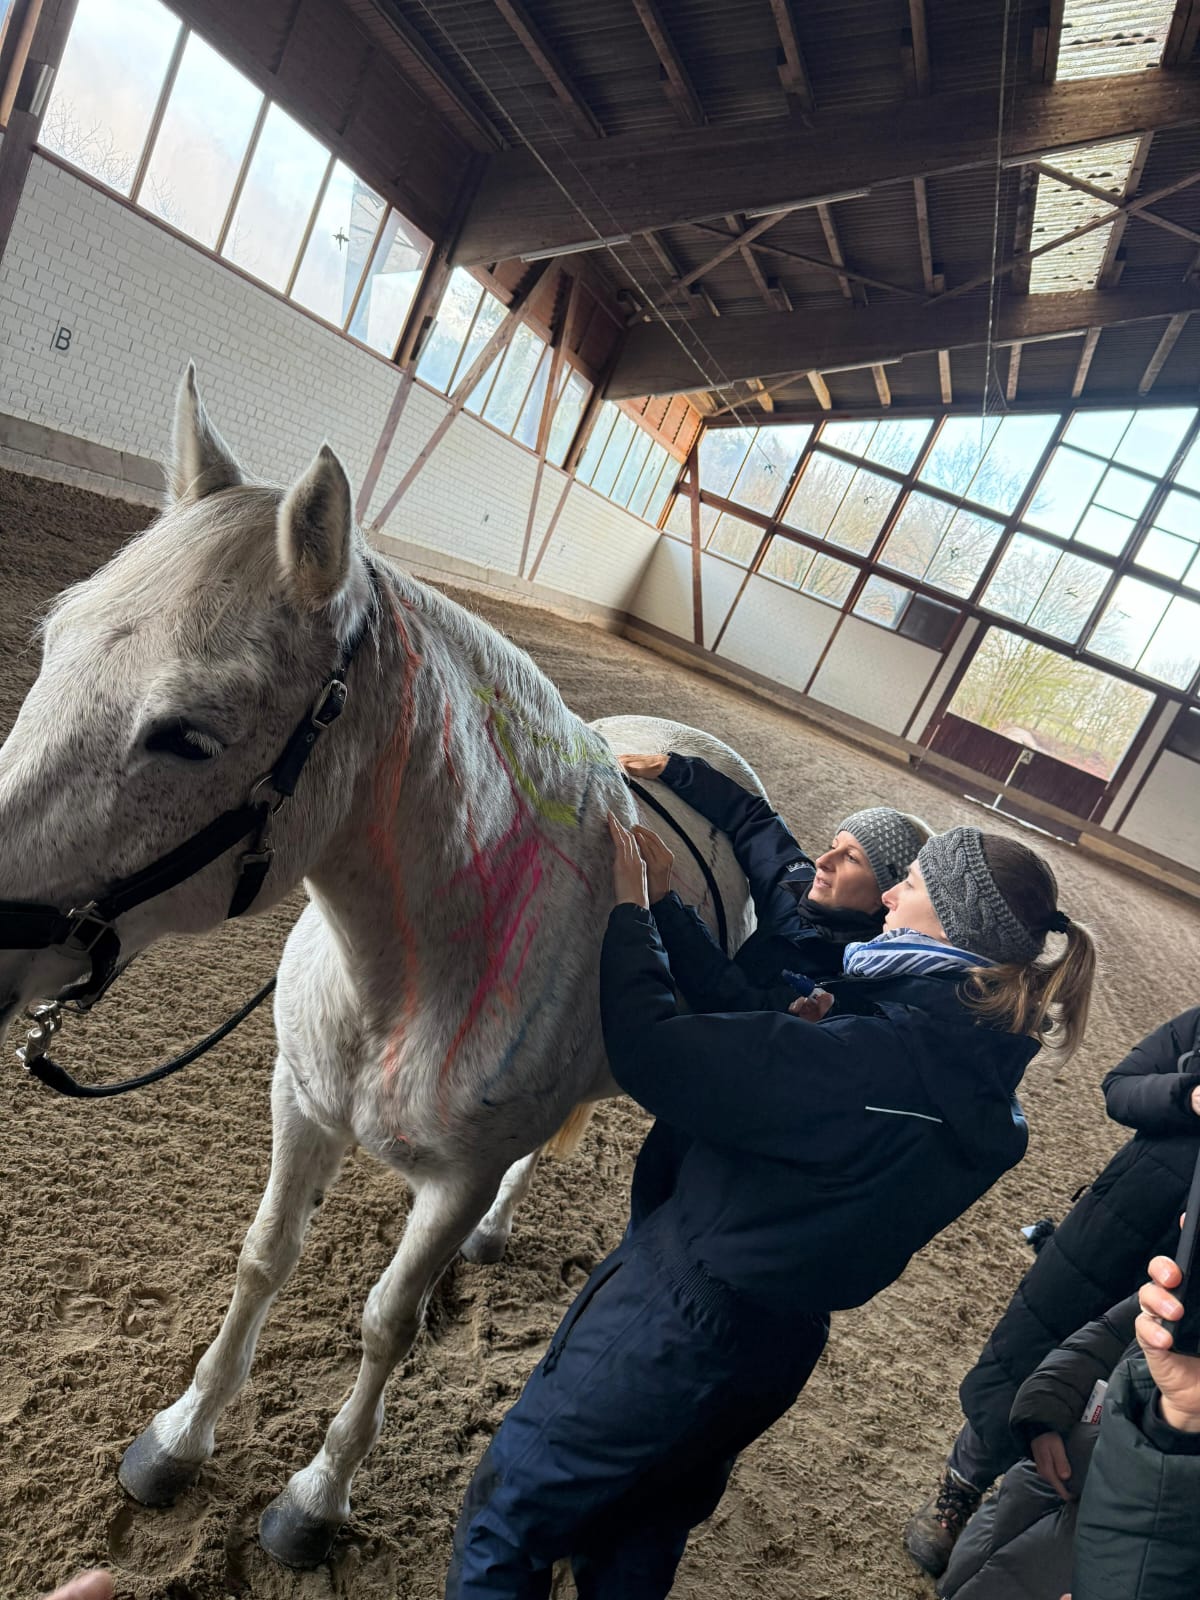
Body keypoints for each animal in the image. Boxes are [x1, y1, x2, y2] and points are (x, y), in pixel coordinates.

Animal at [0, 369, 764, 1568]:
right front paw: (178, 1437)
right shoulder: (302, 1104)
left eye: (186, 734)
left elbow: (388, 1321)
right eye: (52, 642)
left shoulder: (450, 1182)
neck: (408, 972)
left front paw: (316, 1498)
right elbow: (264, 1257)